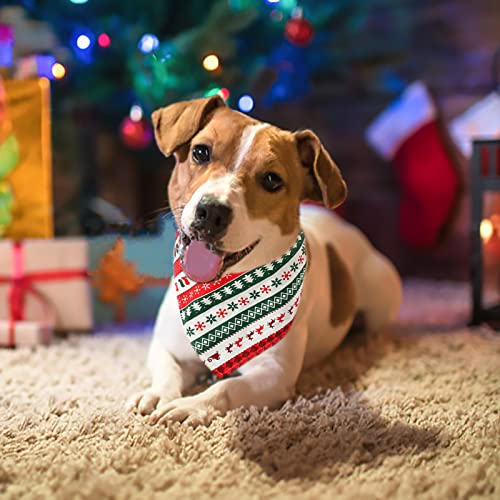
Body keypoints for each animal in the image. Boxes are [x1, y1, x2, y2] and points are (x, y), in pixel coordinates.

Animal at [126, 94, 402, 426]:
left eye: (271, 180)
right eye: (200, 152)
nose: (212, 211)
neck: (221, 289)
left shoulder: (274, 375)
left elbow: (225, 388)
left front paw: (191, 405)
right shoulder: (167, 347)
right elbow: (168, 370)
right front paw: (159, 394)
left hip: (380, 294)